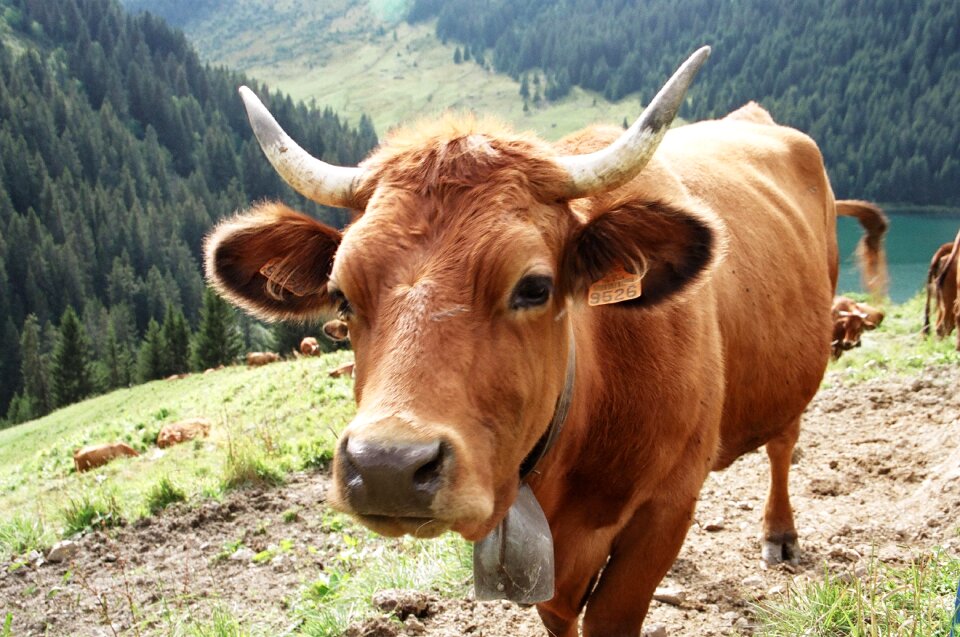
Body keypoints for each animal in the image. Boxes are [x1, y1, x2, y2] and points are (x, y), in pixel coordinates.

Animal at [206, 49, 888, 636]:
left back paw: (779, 534)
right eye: (342, 296)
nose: (388, 468)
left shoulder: (666, 506)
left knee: (783, 444)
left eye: (534, 287)